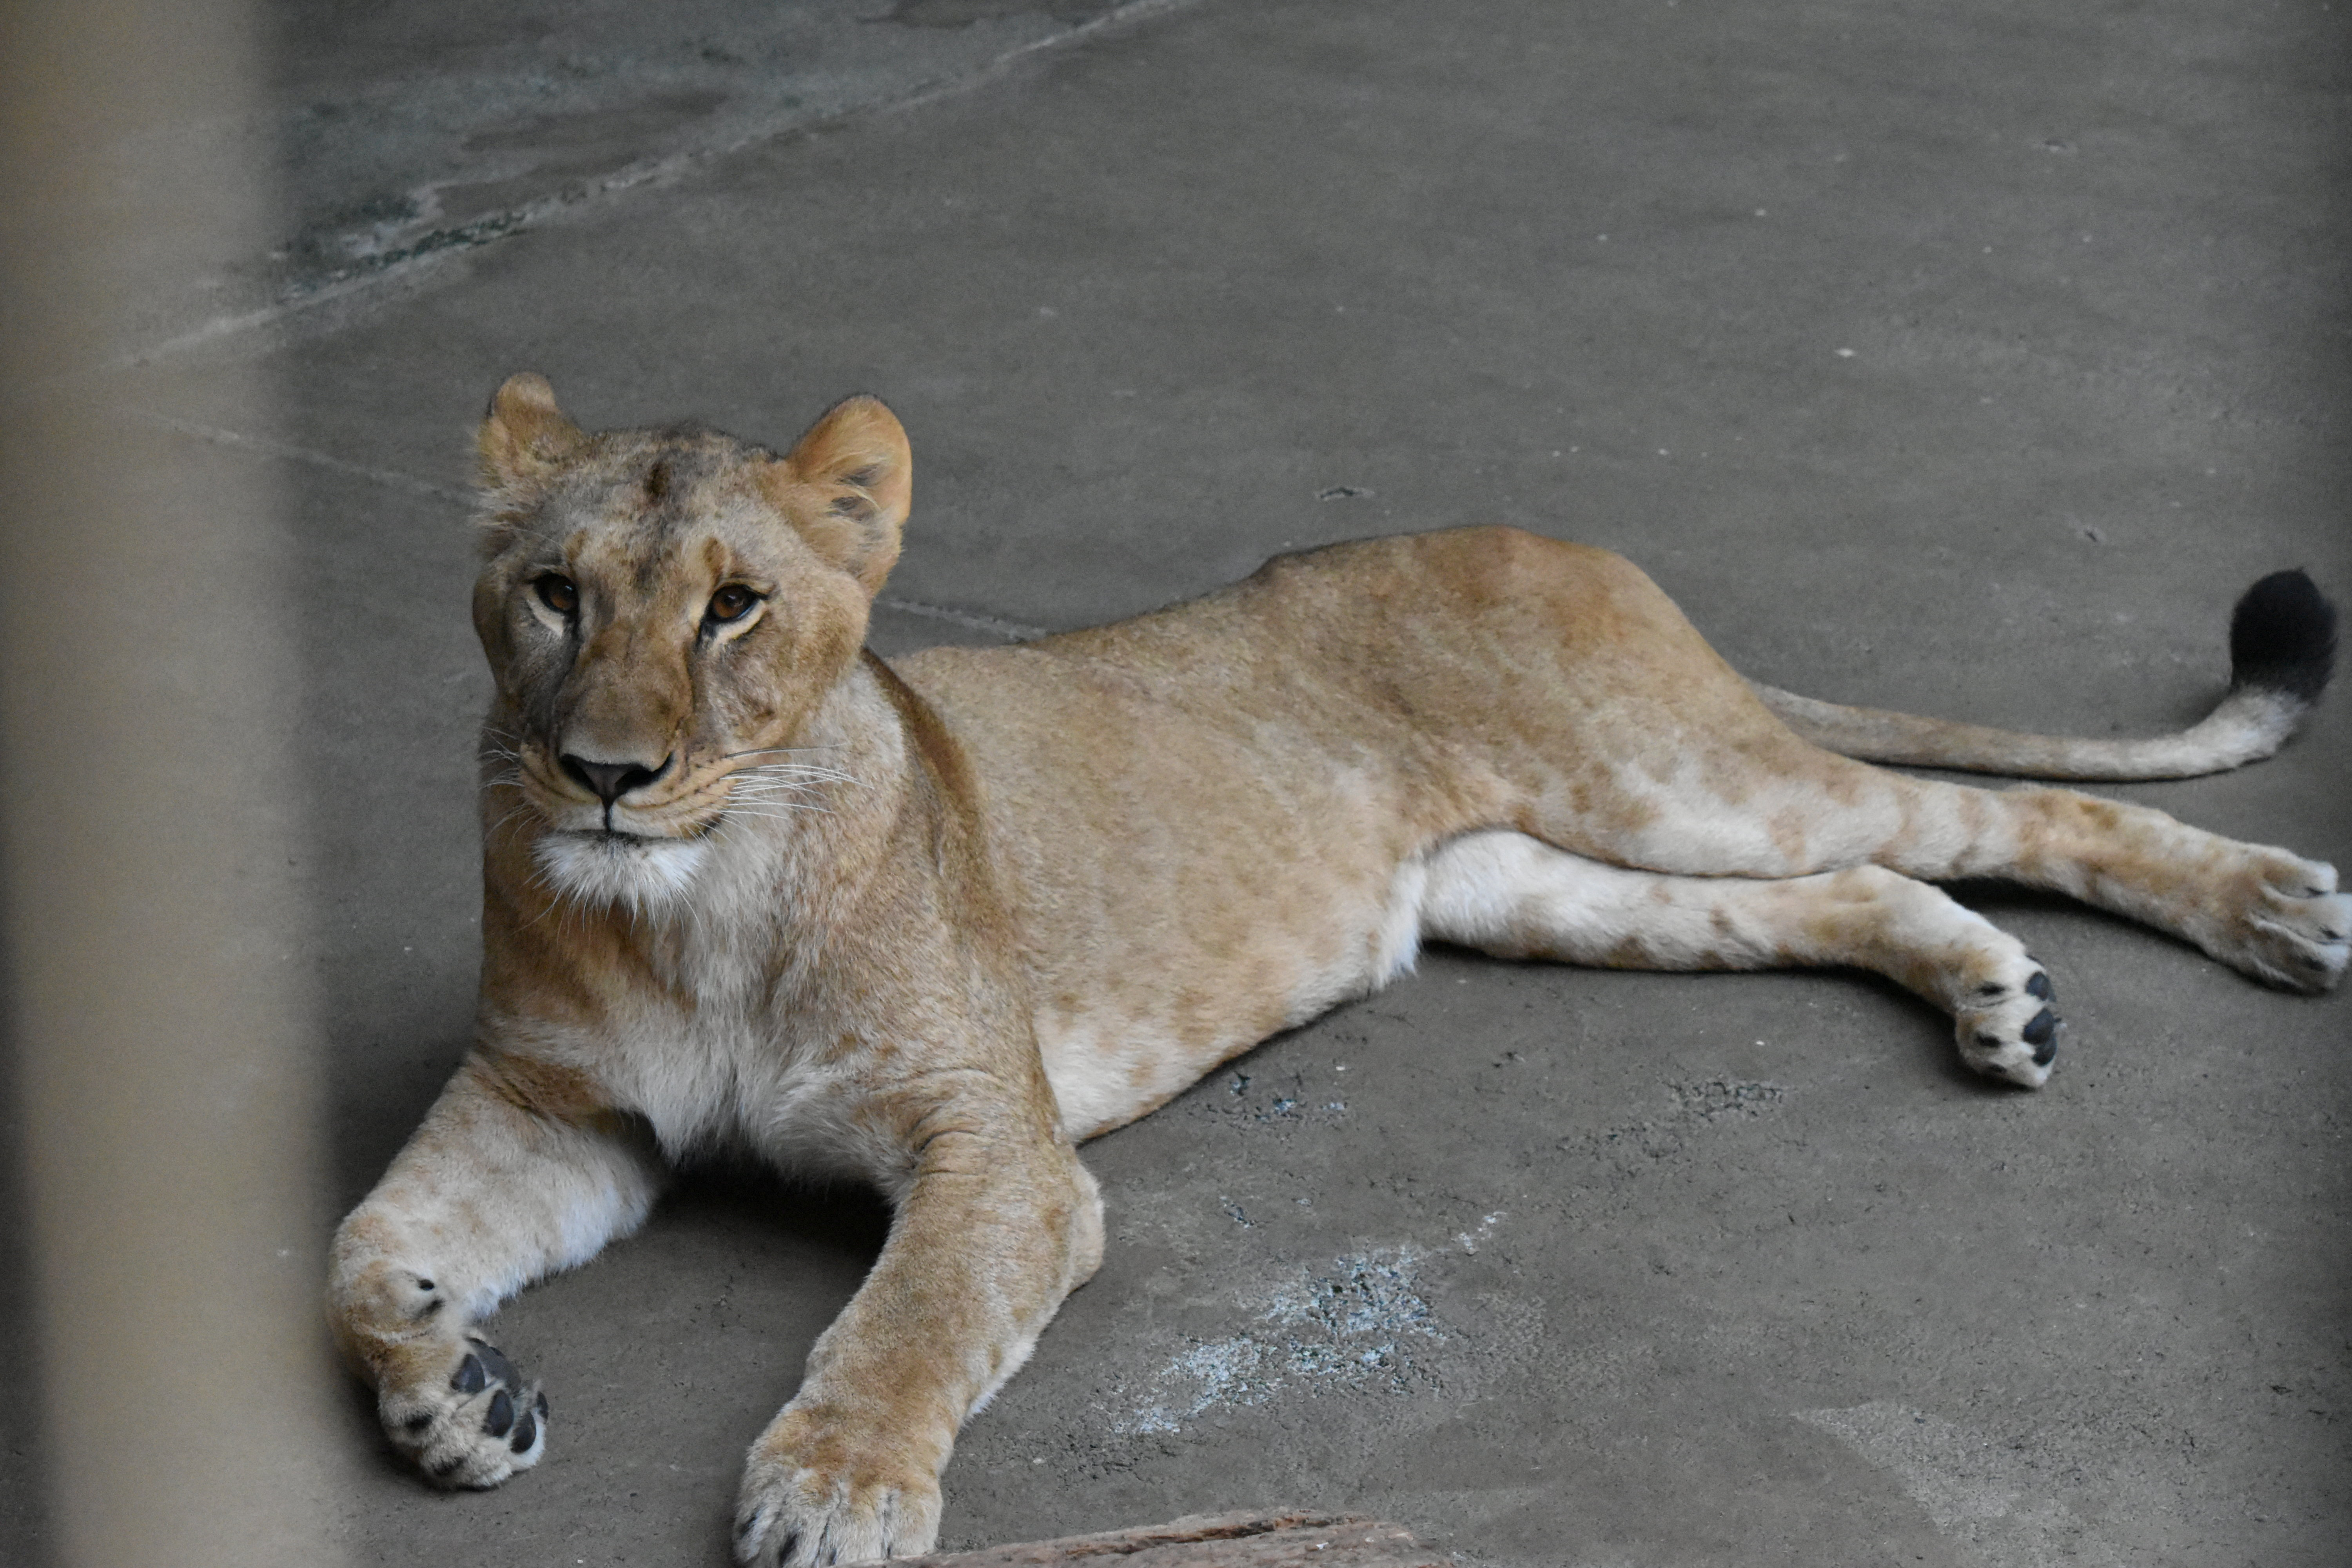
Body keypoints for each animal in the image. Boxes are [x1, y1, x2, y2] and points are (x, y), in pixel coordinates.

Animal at [329, 374, 2346, 1566]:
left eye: (734, 605)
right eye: (556, 591)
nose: (602, 771)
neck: (699, 897)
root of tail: (1551, 533)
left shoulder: (997, 1144)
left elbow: (906, 1317)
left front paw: (834, 1490)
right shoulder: (565, 1109)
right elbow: (359, 1253)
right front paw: (458, 1393)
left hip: (1678, 780)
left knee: (1993, 805)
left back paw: (2273, 913)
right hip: (1546, 882)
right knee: (1866, 879)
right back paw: (2002, 993)